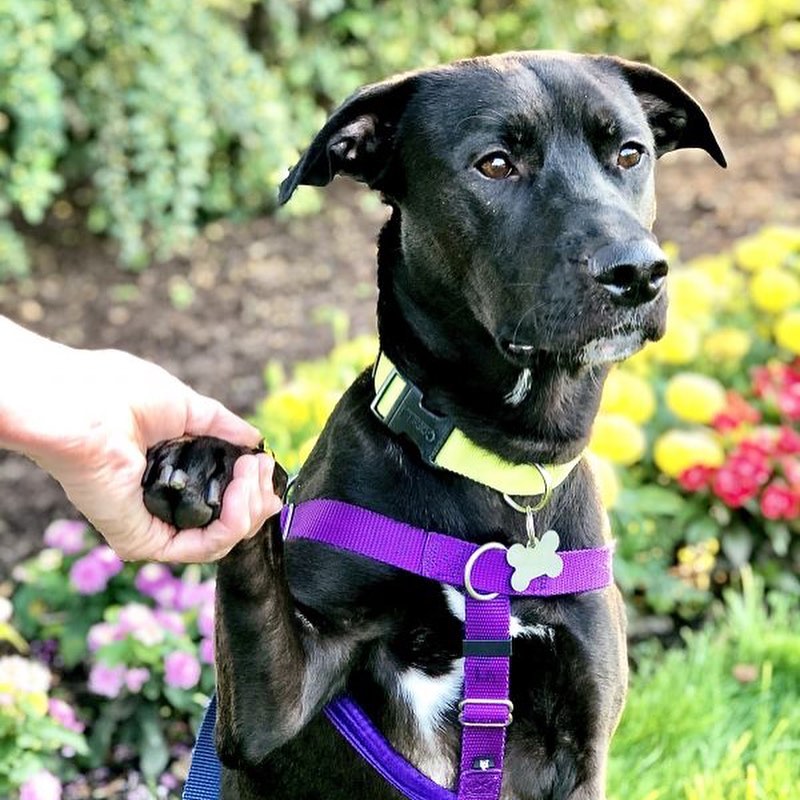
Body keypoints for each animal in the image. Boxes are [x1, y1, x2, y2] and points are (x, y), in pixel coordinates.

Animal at [144, 53, 724, 796]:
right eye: (495, 164)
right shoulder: (269, 713)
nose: (638, 271)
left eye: (630, 153)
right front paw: (209, 461)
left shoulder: (584, 739)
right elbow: (251, 572)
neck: (498, 466)